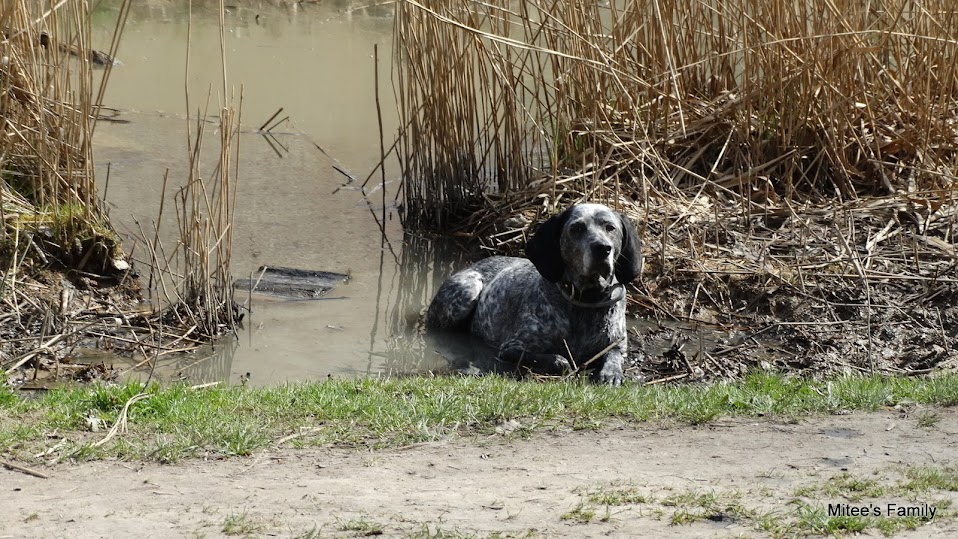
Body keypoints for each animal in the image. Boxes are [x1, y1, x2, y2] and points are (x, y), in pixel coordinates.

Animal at [430, 202, 644, 384]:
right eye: (577, 228)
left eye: (610, 227)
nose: (602, 248)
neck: (586, 301)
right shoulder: (512, 348)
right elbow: (556, 359)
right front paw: (562, 362)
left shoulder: (617, 346)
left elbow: (613, 357)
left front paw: (610, 373)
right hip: (468, 290)